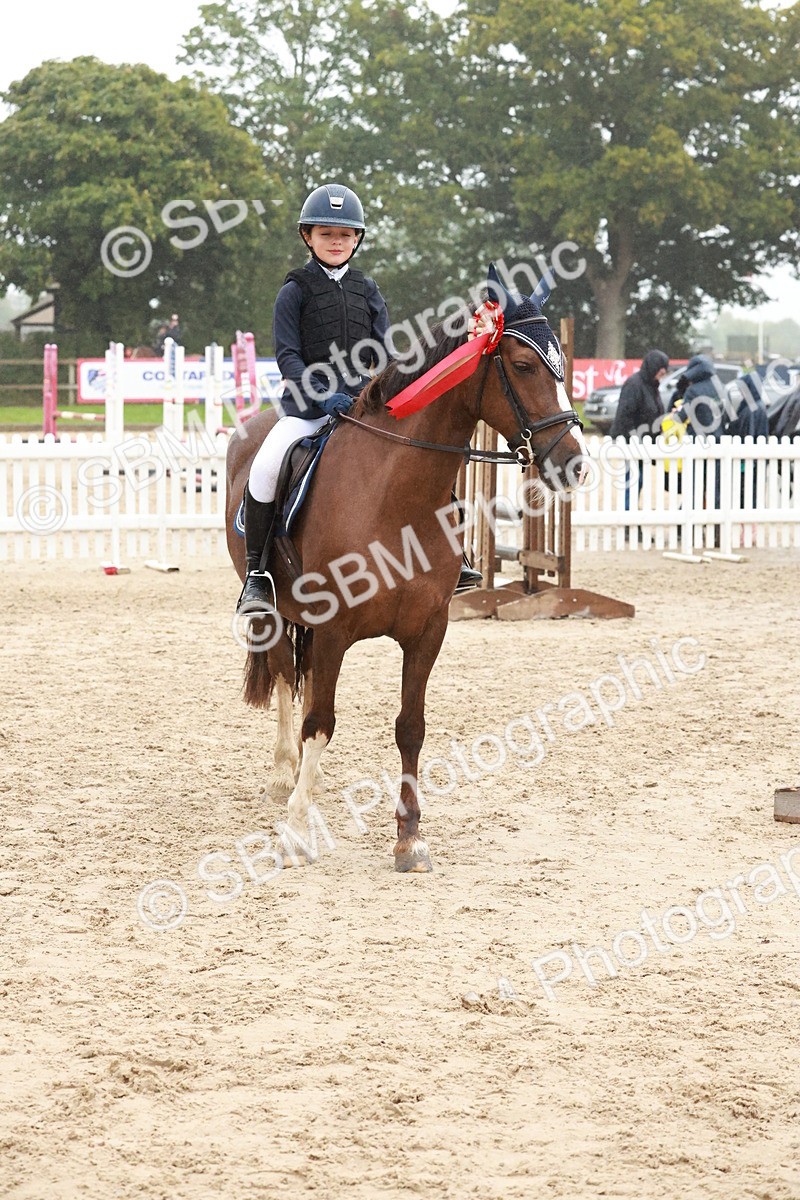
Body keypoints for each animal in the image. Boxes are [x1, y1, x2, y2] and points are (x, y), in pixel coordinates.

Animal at [225, 265, 588, 872]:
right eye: (522, 365)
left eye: (563, 366)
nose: (575, 463)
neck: (396, 497)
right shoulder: (333, 629)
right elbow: (319, 721)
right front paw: (295, 832)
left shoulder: (427, 629)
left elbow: (410, 728)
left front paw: (409, 838)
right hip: (274, 609)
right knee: (283, 678)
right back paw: (284, 777)